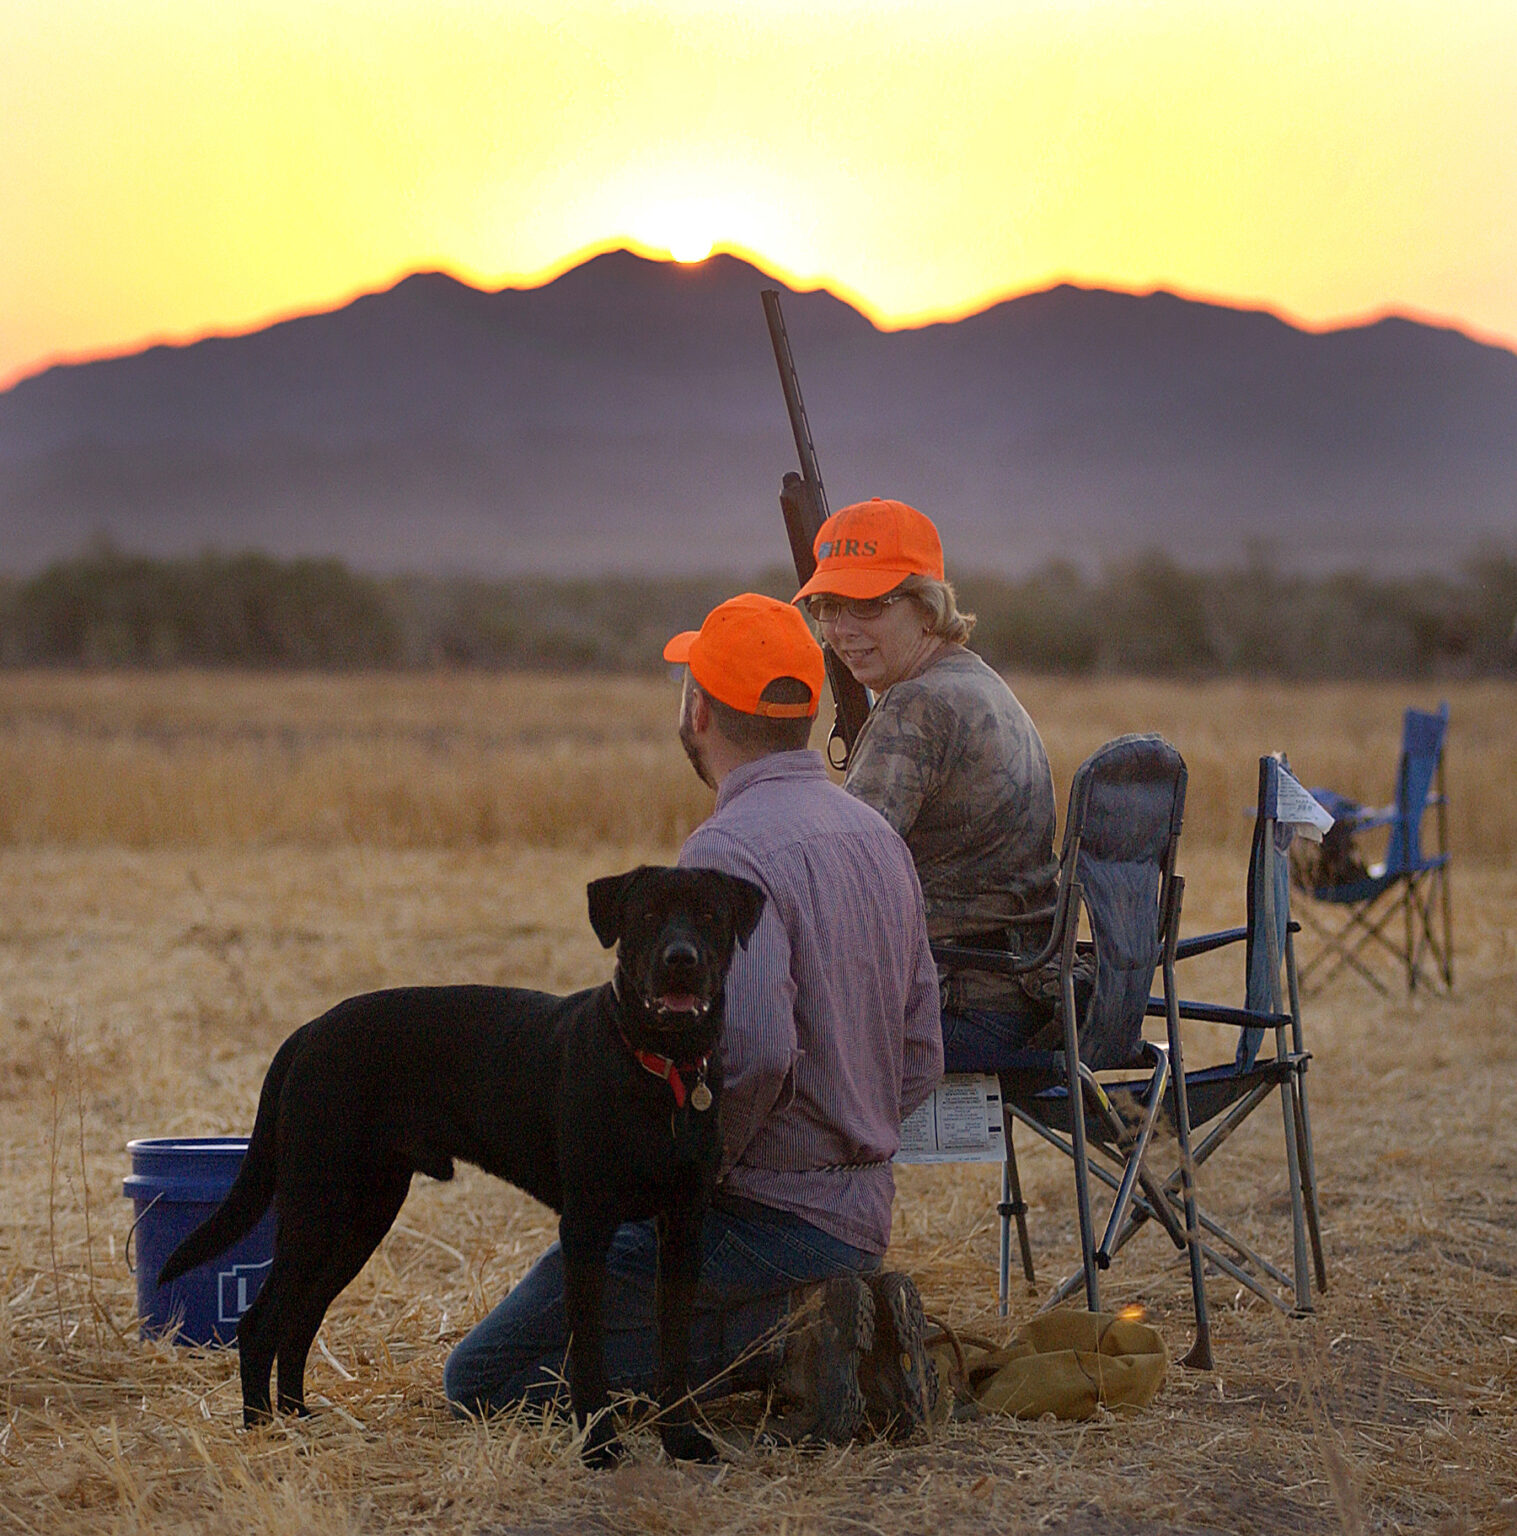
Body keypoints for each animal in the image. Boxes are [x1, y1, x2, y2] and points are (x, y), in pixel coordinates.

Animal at [159, 866, 764, 1462]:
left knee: (299, 1318)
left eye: (709, 914)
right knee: (260, 1322)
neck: (661, 1070)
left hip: (361, 1216)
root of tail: (308, 1031)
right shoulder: (586, 1227)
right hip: (319, 1206)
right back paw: (263, 1433)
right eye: (647, 915)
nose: (681, 958)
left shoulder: (683, 1225)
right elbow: (588, 1354)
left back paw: (299, 1418)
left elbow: (675, 1348)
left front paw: (682, 1439)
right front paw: (598, 1448)